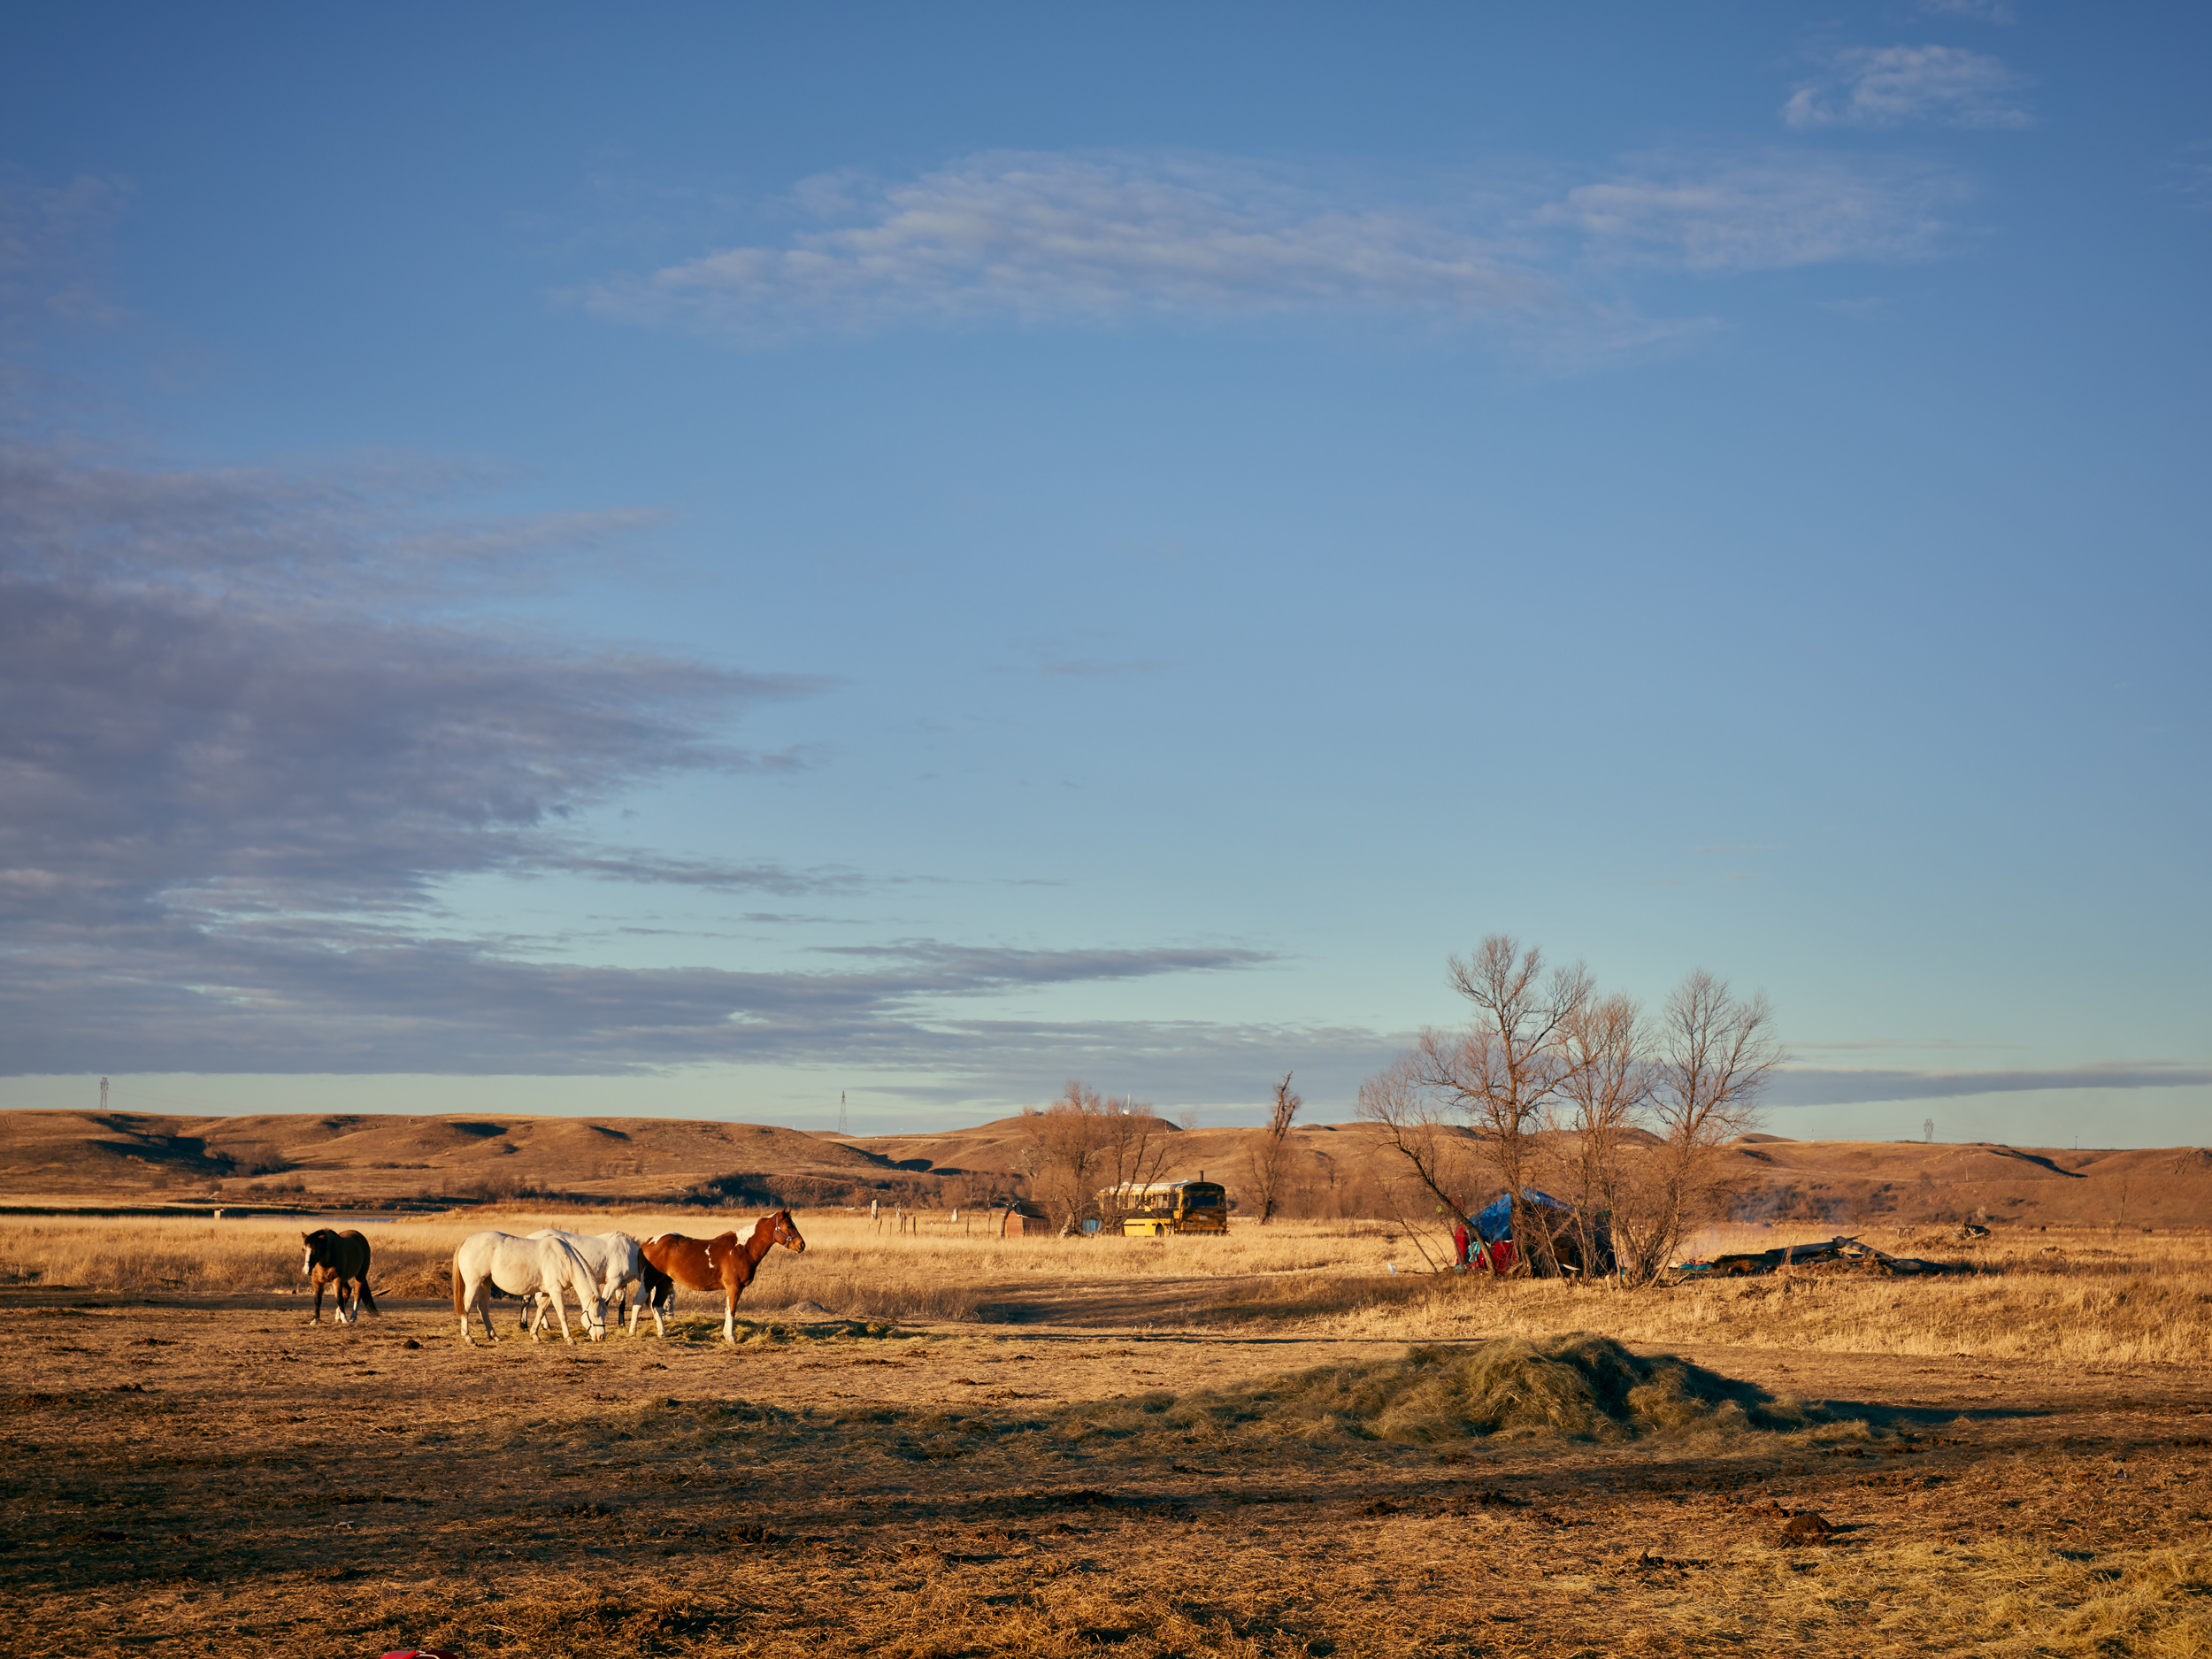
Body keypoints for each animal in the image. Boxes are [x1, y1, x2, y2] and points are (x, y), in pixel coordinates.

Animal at [449, 1239, 611, 1354]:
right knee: (466, 1307)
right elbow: (562, 1314)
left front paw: (534, 1335)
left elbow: (540, 1312)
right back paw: (468, 1337)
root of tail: (466, 1241)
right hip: (474, 1283)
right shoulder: (555, 1291)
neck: (564, 1259)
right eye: (595, 1315)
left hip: (485, 1283)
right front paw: (569, 1339)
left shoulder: (547, 1293)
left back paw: (495, 1336)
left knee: (482, 1308)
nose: (601, 1337)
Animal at [518, 1239, 646, 1336]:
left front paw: (622, 1323)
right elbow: (606, 1301)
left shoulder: (622, 1283)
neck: (628, 1252)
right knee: (530, 1299)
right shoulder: (613, 1281)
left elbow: (621, 1303)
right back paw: (528, 1325)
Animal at [637, 1212, 810, 1345]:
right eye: (789, 1226)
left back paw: (662, 1333)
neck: (742, 1249)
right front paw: (731, 1337)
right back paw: (633, 1331)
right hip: (649, 1280)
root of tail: (648, 1242)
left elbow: (729, 1310)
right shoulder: (733, 1287)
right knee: (638, 1301)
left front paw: (727, 1335)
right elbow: (731, 1310)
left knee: (657, 1305)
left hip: (665, 1282)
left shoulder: (737, 1288)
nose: (801, 1245)